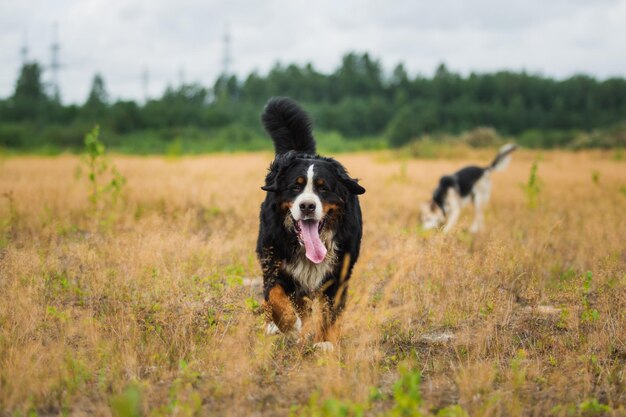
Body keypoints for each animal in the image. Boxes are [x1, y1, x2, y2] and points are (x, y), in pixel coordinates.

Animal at [255, 96, 364, 350]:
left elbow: (329, 312)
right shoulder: (275, 262)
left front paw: (324, 342)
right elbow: (275, 296)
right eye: (295, 187)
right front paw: (287, 324)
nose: (307, 206)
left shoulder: (338, 274)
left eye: (323, 188)